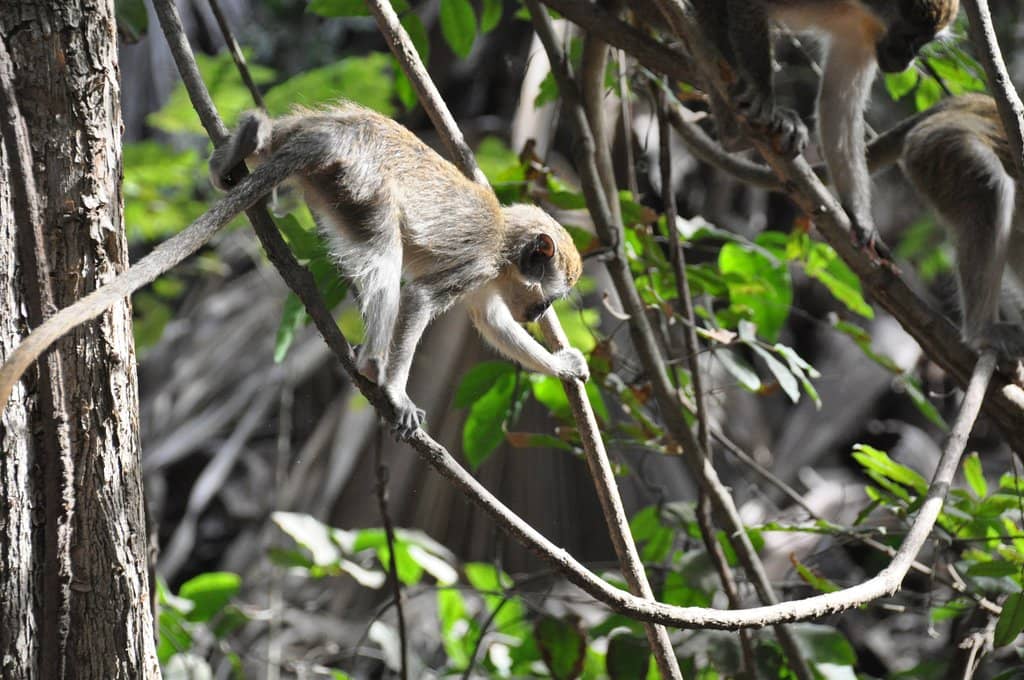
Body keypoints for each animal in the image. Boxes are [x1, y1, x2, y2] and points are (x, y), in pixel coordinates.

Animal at [0, 103, 590, 438]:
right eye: (549, 297)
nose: (540, 311)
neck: (506, 241)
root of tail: (334, 138)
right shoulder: (478, 263)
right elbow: (423, 298)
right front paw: (398, 391)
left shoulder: (490, 282)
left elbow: (493, 322)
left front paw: (562, 366)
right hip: (361, 182)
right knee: (384, 254)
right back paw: (373, 364)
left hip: (331, 170)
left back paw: (243, 144)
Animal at [689, 0, 959, 258]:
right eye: (909, 37)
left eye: (923, 42)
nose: (907, 61)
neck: (857, 8)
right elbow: (745, 3)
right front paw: (762, 92)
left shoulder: (861, 34)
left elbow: (838, 104)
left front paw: (860, 216)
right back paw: (734, 131)